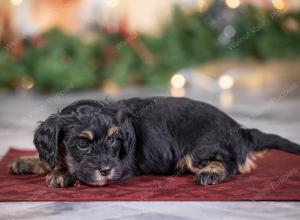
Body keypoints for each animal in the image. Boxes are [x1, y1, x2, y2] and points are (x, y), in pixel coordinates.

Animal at [8, 97, 300, 186]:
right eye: (82, 144)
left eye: (114, 141)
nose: (106, 170)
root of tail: (240, 130)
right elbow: (51, 157)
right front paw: (25, 162)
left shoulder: (121, 166)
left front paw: (62, 175)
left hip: (199, 149)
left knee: (229, 164)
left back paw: (210, 173)